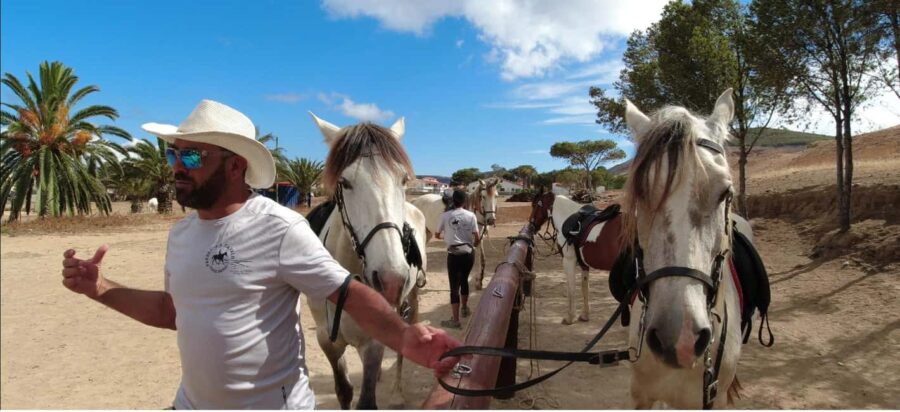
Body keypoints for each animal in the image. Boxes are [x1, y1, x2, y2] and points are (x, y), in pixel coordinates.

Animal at [306, 112, 428, 409]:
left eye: (403, 180)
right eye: (345, 182)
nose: (391, 279)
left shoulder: (372, 343)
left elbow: (366, 400)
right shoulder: (327, 340)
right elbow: (343, 391)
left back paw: (396, 392)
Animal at [528, 192, 621, 325]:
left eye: (535, 205)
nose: (531, 226)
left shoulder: (568, 261)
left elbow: (571, 288)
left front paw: (570, 317)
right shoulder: (584, 265)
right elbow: (584, 287)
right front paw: (585, 315)